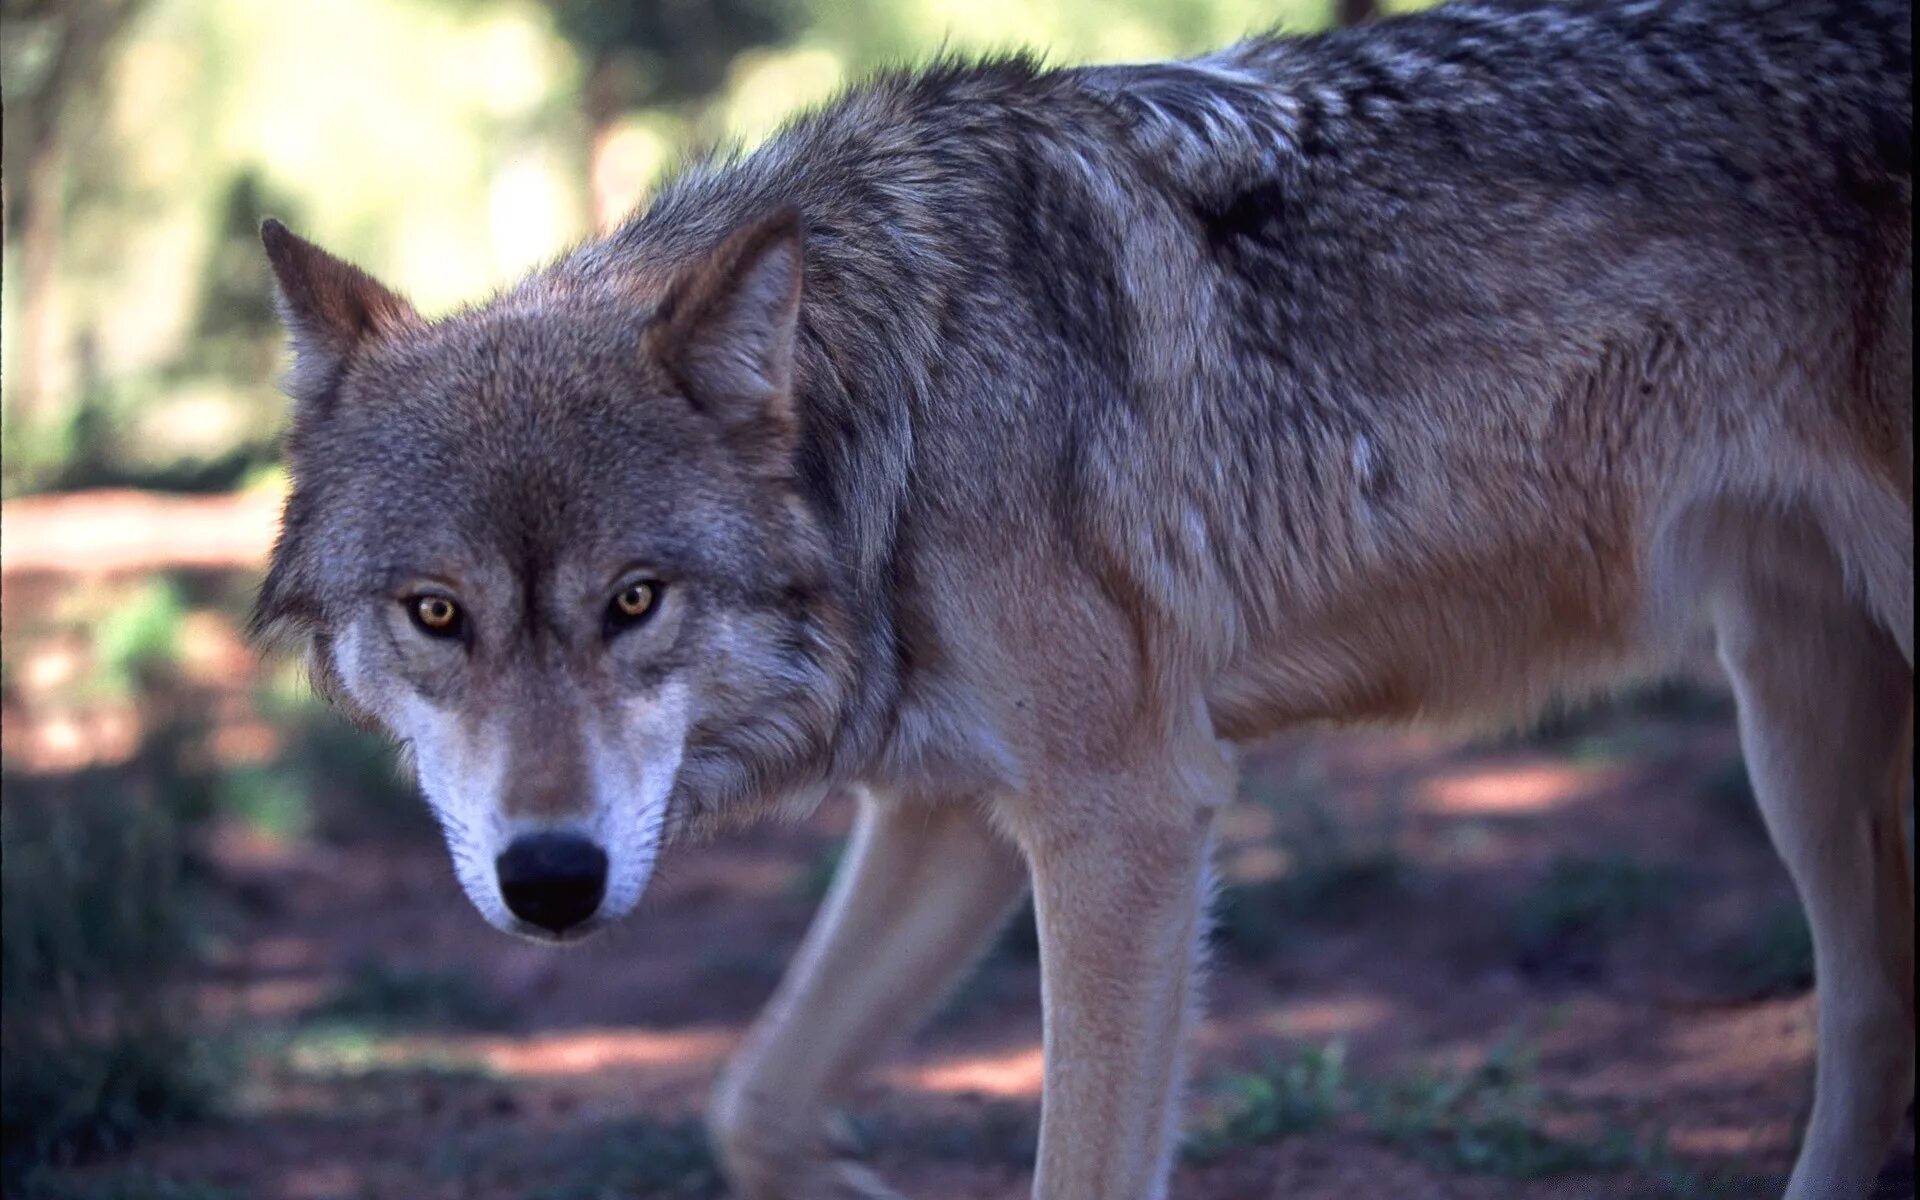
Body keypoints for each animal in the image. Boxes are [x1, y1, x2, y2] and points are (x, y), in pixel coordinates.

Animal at [251, 0, 1904, 1190]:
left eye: (636, 601)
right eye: (437, 613)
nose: (552, 881)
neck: (902, 411)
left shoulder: (1128, 817)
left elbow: (1079, 1164)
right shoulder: (946, 812)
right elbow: (754, 1102)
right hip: (1796, 714)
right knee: (1870, 1028)